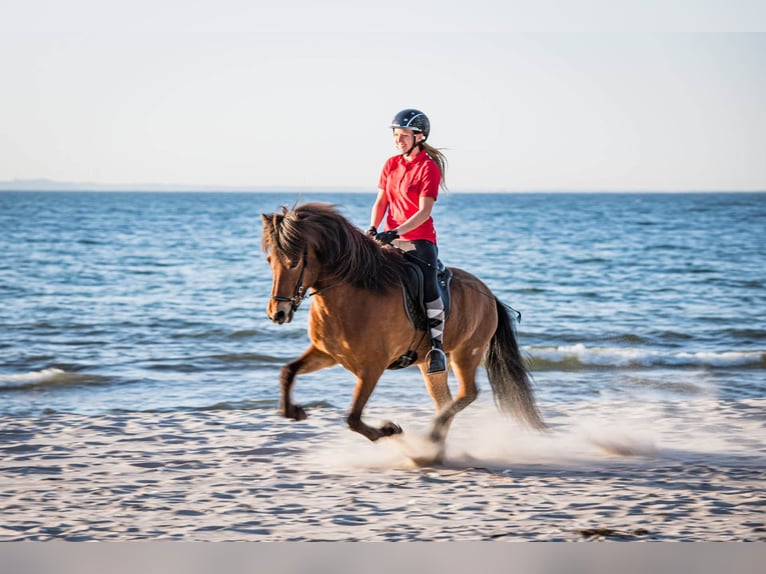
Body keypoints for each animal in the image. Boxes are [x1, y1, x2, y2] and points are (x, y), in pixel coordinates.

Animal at [261, 202, 545, 460]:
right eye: (269, 261)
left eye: (294, 263)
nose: (277, 313)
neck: (353, 293)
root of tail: (489, 295)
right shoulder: (327, 354)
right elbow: (288, 372)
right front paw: (294, 411)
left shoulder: (372, 368)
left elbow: (353, 418)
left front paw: (390, 430)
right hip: (431, 367)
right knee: (445, 400)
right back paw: (434, 451)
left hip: (466, 353)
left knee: (467, 394)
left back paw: (430, 439)